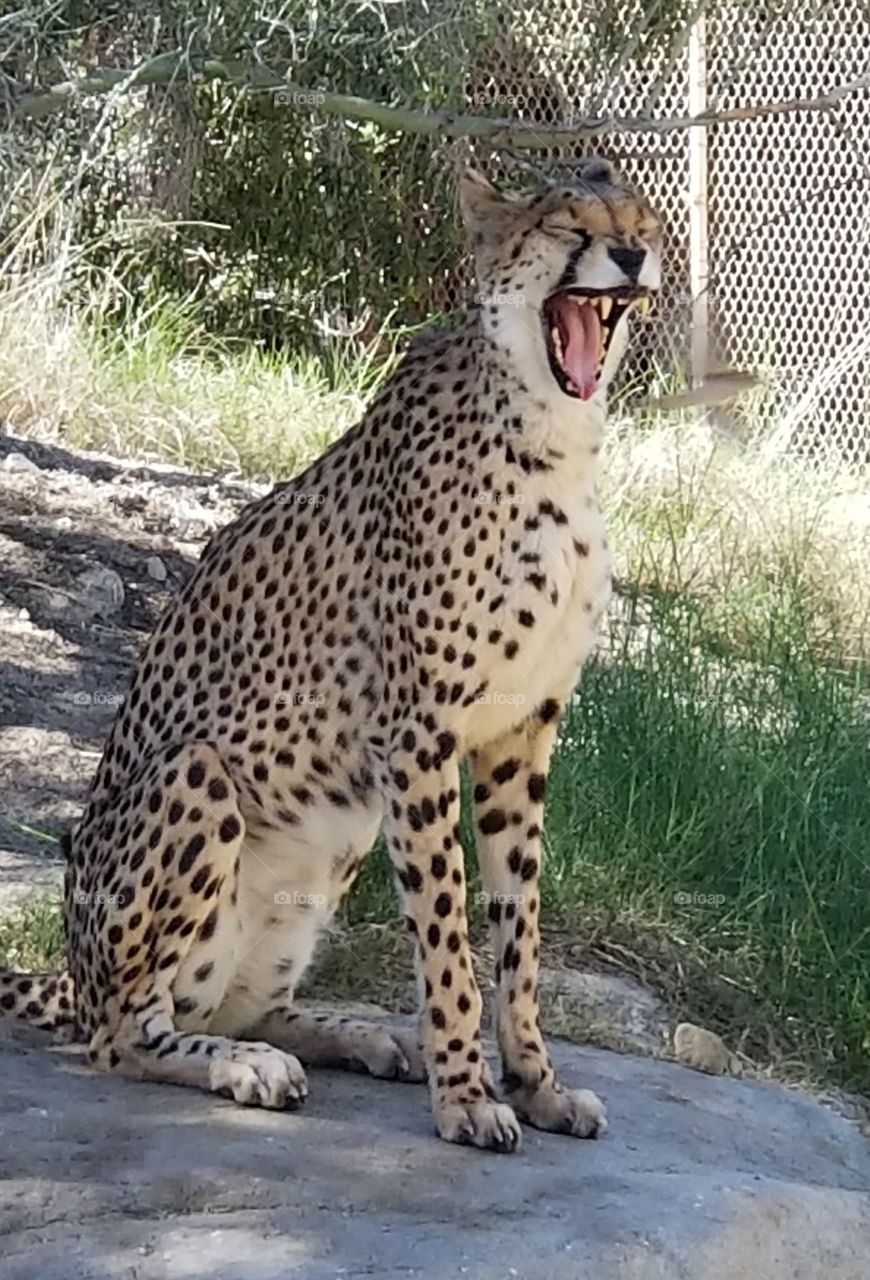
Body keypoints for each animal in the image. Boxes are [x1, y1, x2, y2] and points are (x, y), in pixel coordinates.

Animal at [0, 157, 661, 1153]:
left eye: (642, 224)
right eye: (567, 223)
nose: (629, 258)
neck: (554, 434)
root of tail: (72, 975)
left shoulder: (523, 731)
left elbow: (519, 932)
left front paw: (536, 1083)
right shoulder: (418, 734)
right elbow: (447, 935)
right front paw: (469, 1096)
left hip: (339, 831)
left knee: (233, 1002)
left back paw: (350, 1036)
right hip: (200, 780)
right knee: (122, 1036)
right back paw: (246, 1066)